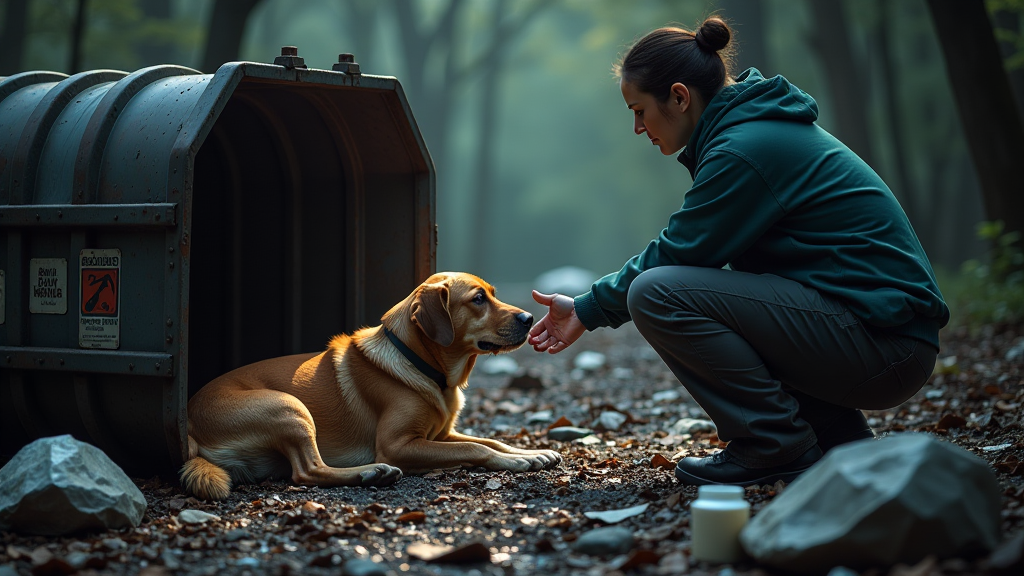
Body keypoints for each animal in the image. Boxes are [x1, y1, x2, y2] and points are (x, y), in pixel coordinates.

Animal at [181, 270, 565, 496]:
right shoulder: (399, 444)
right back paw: (371, 473)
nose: (529, 317)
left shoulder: (441, 435)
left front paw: (530, 454)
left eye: (493, 293)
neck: (426, 368)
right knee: (307, 472)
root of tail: (189, 424)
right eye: (478, 299)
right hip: (288, 407)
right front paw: (517, 461)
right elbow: (475, 449)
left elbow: (489, 441)